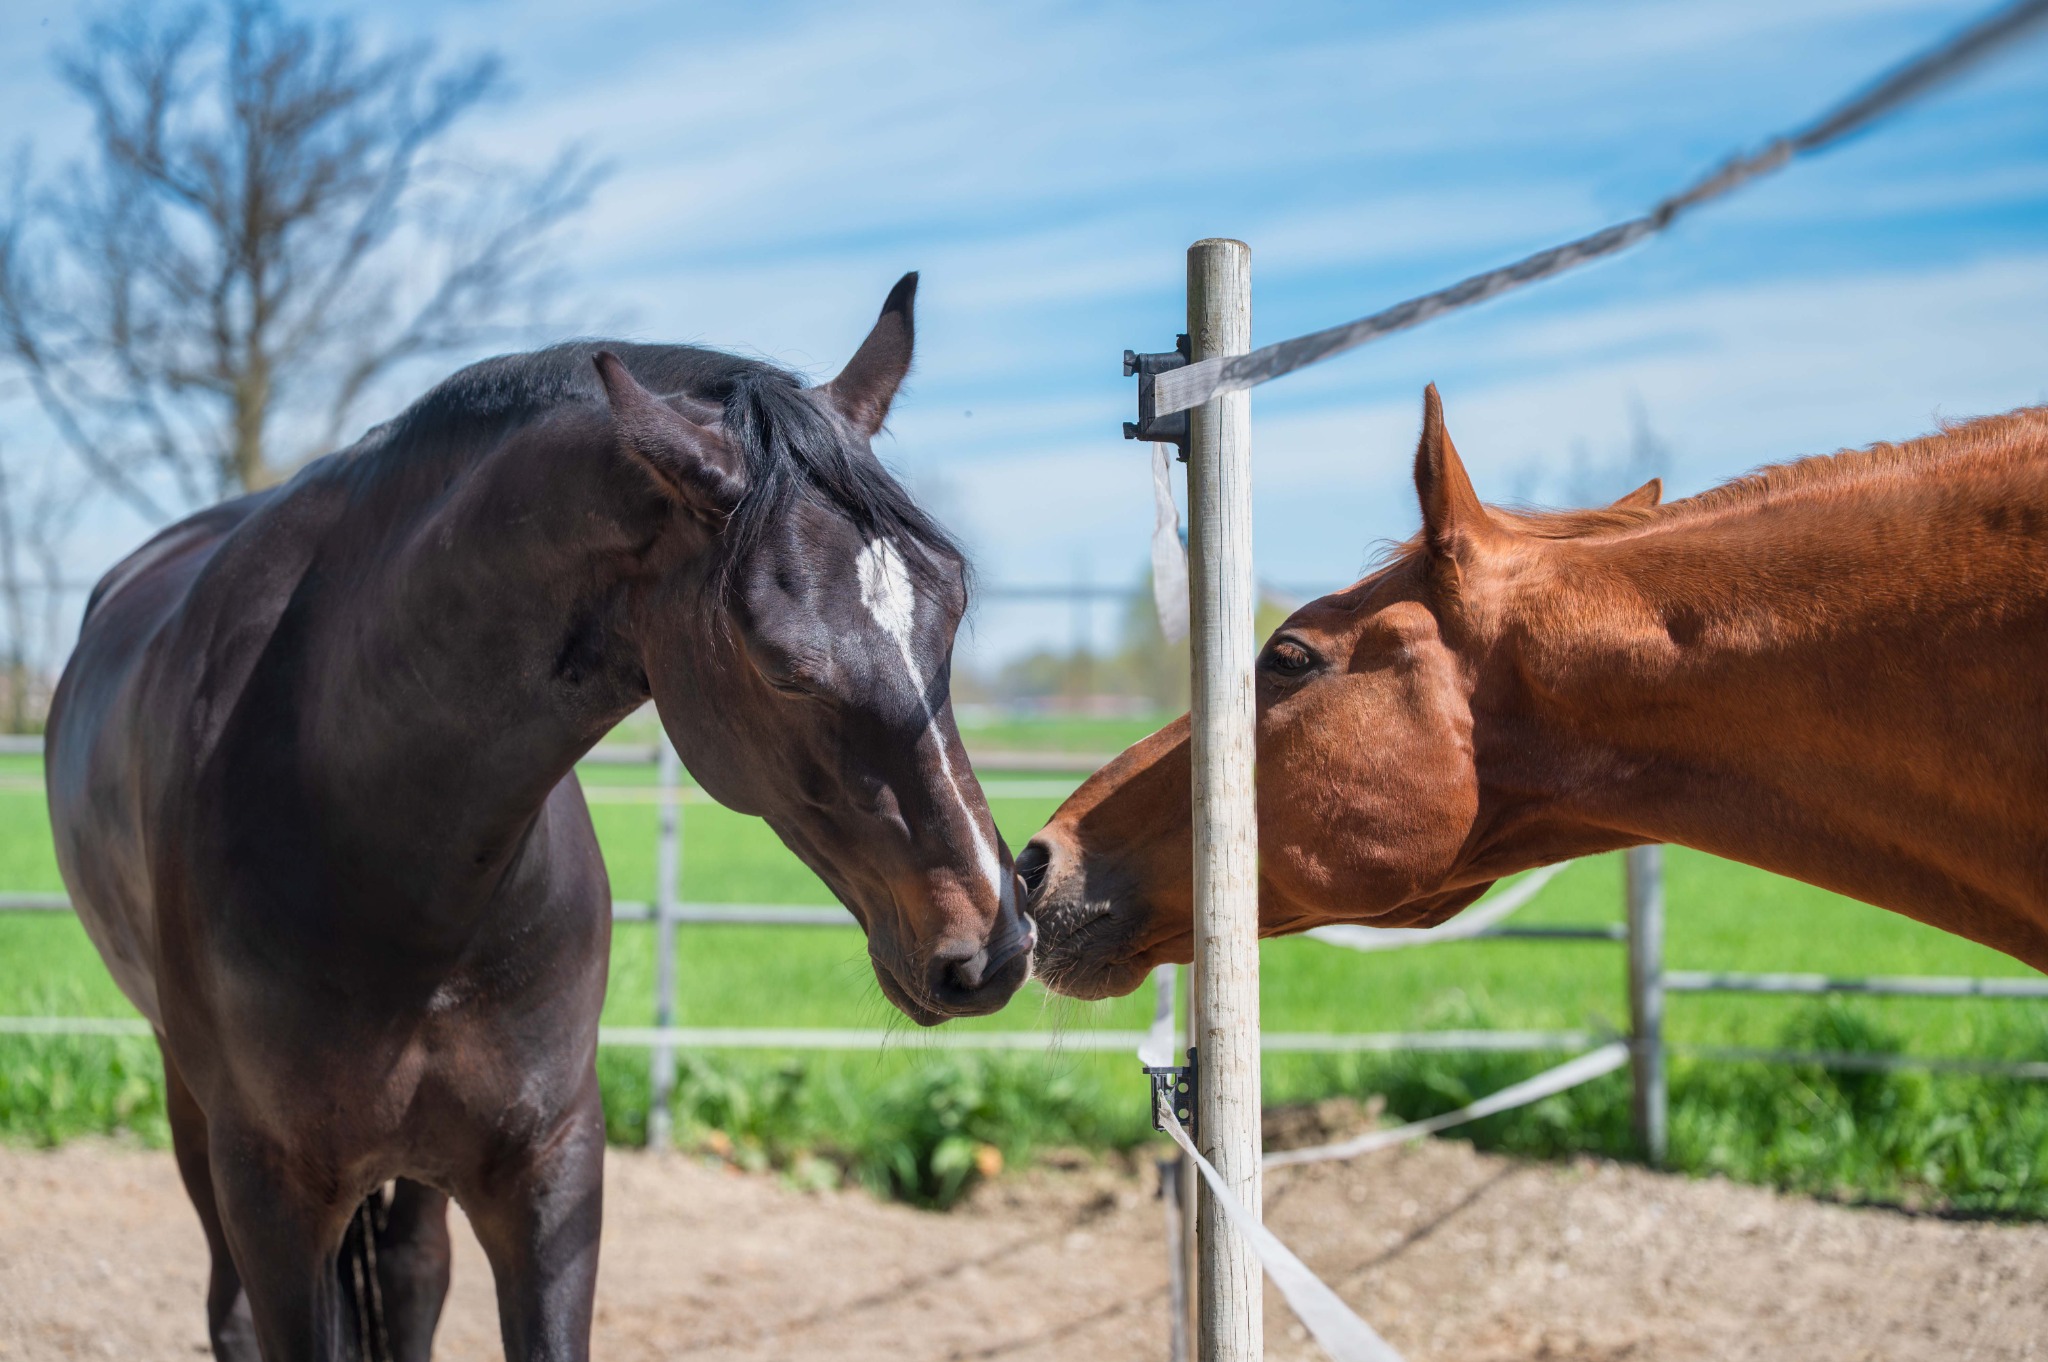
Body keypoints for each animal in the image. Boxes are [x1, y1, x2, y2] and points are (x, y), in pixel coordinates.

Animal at [45, 273, 1032, 1361]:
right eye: (784, 665)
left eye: (951, 604)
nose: (989, 944)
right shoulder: (272, 1193)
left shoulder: (550, 1173)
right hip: (196, 1114)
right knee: (232, 1310)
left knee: (413, 1275)